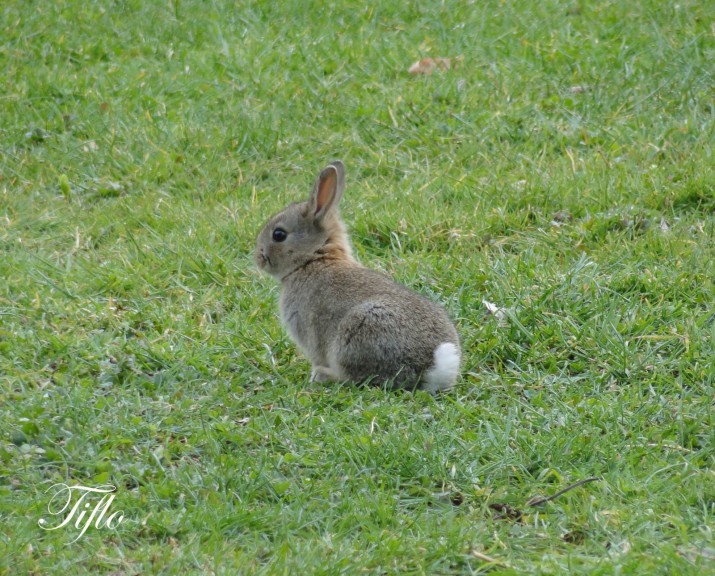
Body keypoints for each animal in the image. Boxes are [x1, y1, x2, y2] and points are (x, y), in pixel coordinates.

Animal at [255, 161, 462, 392]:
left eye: (279, 235)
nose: (258, 258)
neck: (313, 260)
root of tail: (435, 365)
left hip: (359, 334)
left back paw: (323, 375)